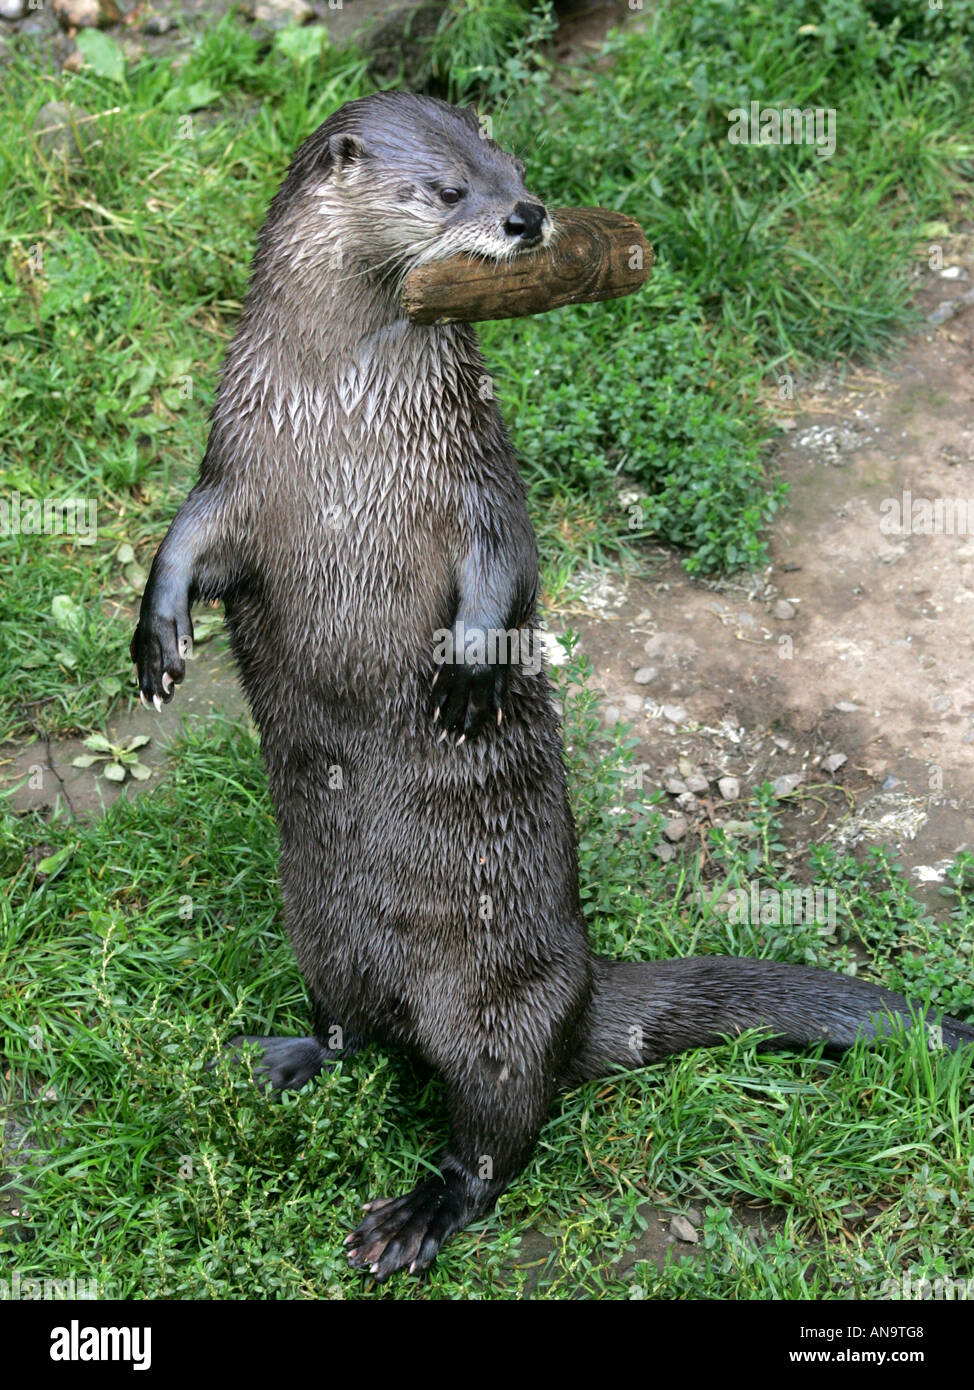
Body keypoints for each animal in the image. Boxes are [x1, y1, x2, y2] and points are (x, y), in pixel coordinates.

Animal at [131, 86, 972, 1278]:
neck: (338, 412)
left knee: (498, 1130)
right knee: (353, 1028)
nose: (526, 218)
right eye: (448, 188)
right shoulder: (236, 462)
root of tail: (580, 996)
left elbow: (506, 565)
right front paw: (156, 642)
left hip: (499, 1006)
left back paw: (414, 1214)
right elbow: (182, 540)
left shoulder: (475, 471)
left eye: (517, 170)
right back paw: (284, 1056)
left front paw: (469, 675)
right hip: (321, 934)